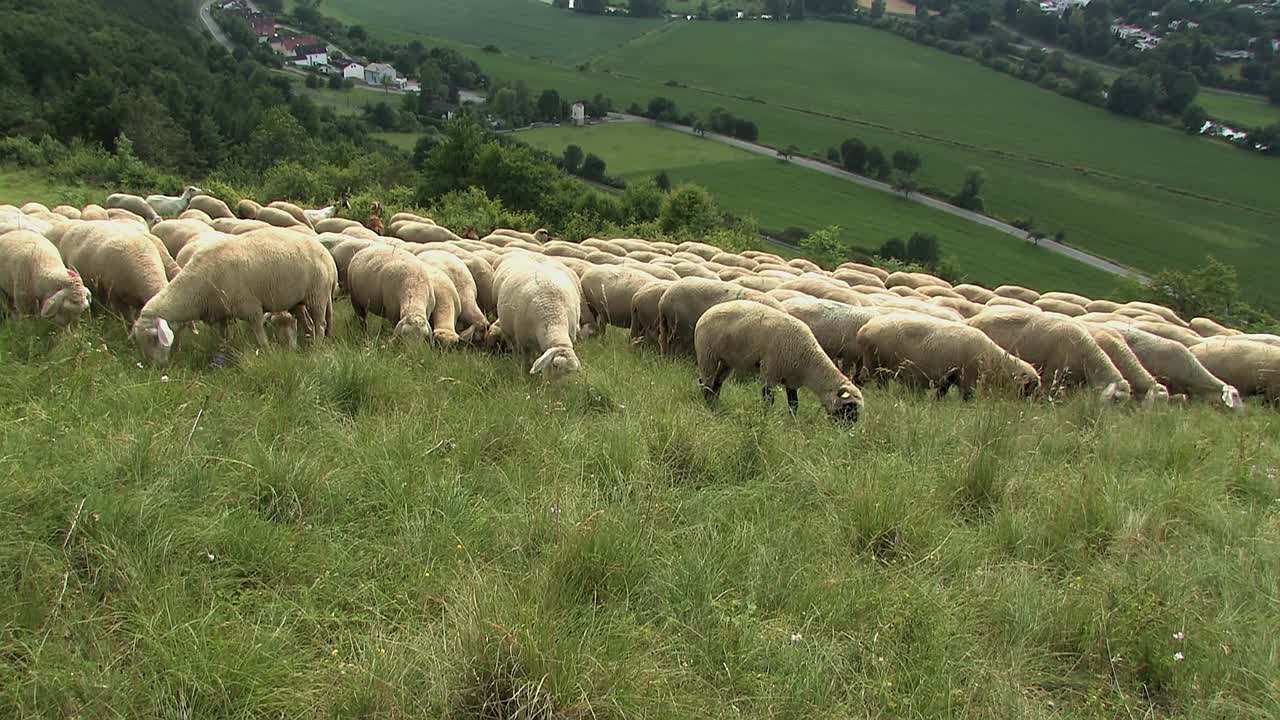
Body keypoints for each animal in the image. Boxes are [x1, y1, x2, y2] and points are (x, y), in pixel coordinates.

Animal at [130, 228, 337, 367]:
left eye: (154, 337)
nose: (155, 368)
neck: (196, 287)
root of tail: (328, 256)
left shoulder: (251, 308)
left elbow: (261, 337)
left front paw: (267, 354)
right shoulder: (220, 313)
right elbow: (224, 338)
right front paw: (222, 357)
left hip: (317, 296)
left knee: (320, 324)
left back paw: (316, 349)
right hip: (297, 300)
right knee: (307, 324)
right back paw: (305, 348)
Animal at [695, 300, 863, 421]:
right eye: (849, 407)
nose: (848, 429)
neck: (808, 363)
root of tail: (706, 313)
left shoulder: (792, 381)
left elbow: (794, 404)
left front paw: (792, 423)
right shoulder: (770, 370)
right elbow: (768, 399)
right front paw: (765, 418)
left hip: (726, 360)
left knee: (717, 382)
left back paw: (715, 404)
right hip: (707, 352)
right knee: (706, 382)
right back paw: (708, 405)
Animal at [858, 314, 1040, 399]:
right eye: (1028, 387)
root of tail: (864, 330)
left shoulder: (950, 376)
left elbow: (941, 393)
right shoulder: (968, 378)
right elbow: (967, 397)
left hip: (875, 365)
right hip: (876, 363)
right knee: (866, 380)